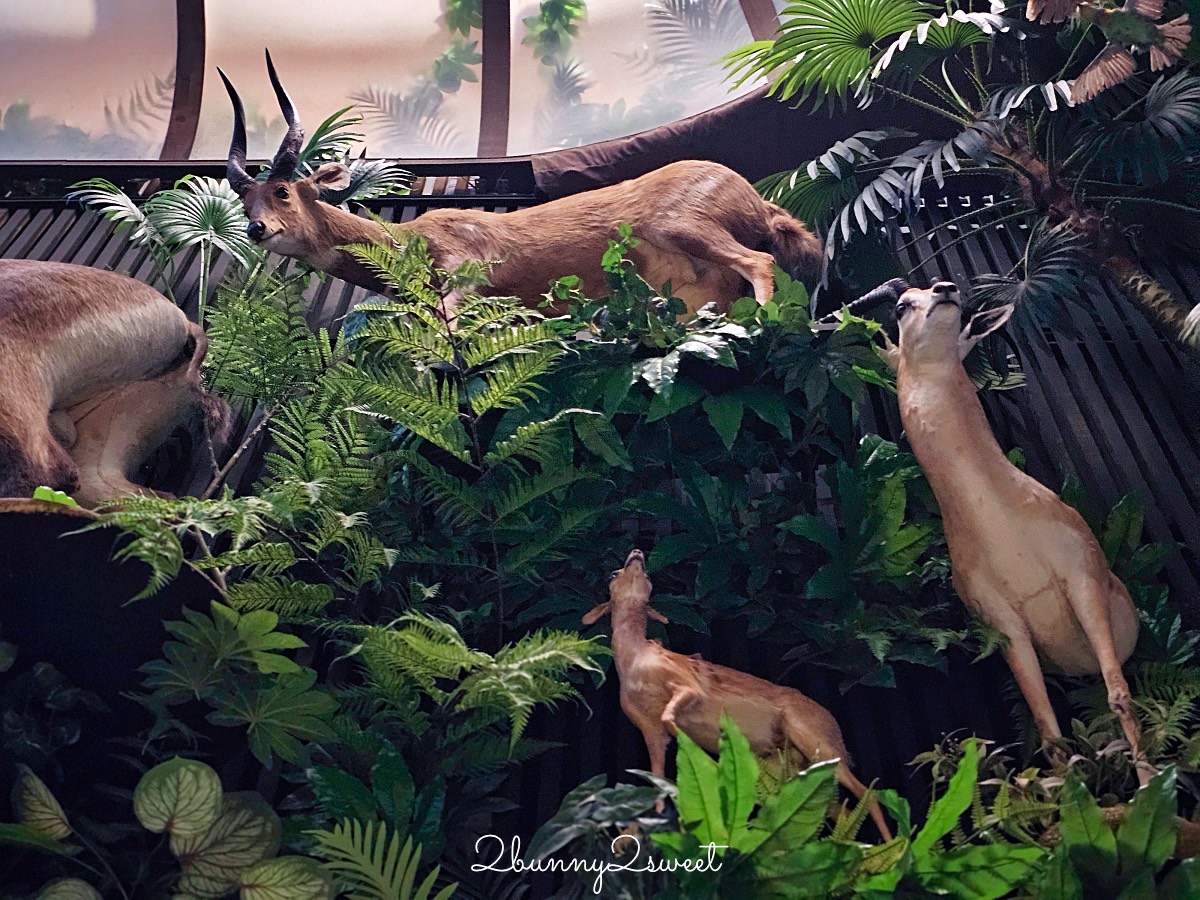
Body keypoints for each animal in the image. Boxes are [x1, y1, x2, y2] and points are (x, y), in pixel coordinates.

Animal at [219, 52, 823, 320]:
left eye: (283, 190)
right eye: (244, 196)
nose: (256, 229)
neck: (412, 240)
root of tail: (756, 200)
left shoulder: (468, 278)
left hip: (685, 226)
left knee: (762, 263)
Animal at [584, 548, 892, 839]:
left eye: (647, 578)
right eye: (613, 574)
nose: (637, 553)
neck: (636, 662)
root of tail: (836, 728)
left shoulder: (687, 685)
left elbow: (670, 717)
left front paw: (709, 763)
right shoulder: (648, 728)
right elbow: (656, 777)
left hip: (816, 741)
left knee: (868, 794)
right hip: (793, 765)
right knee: (837, 810)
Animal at [878, 280, 1148, 783]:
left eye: (957, 309)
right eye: (903, 306)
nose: (946, 288)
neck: (1000, 522)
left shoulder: (1082, 576)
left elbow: (1120, 693)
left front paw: (1152, 790)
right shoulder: (1003, 627)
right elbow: (1051, 738)